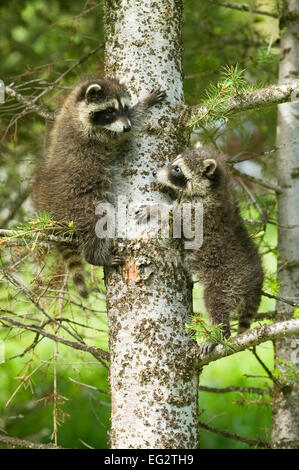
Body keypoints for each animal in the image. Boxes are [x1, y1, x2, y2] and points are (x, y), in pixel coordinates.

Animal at [32, 77, 166, 298]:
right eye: (110, 110)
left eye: (124, 108)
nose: (126, 127)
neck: (75, 109)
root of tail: (51, 216)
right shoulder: (95, 135)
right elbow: (120, 133)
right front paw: (144, 104)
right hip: (82, 206)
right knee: (99, 222)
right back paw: (96, 256)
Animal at [154, 147, 264, 352]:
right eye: (173, 163)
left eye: (177, 169)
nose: (154, 173)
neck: (212, 188)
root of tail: (257, 279)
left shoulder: (199, 212)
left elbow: (176, 219)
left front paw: (156, 209)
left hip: (228, 282)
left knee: (216, 304)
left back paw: (219, 333)